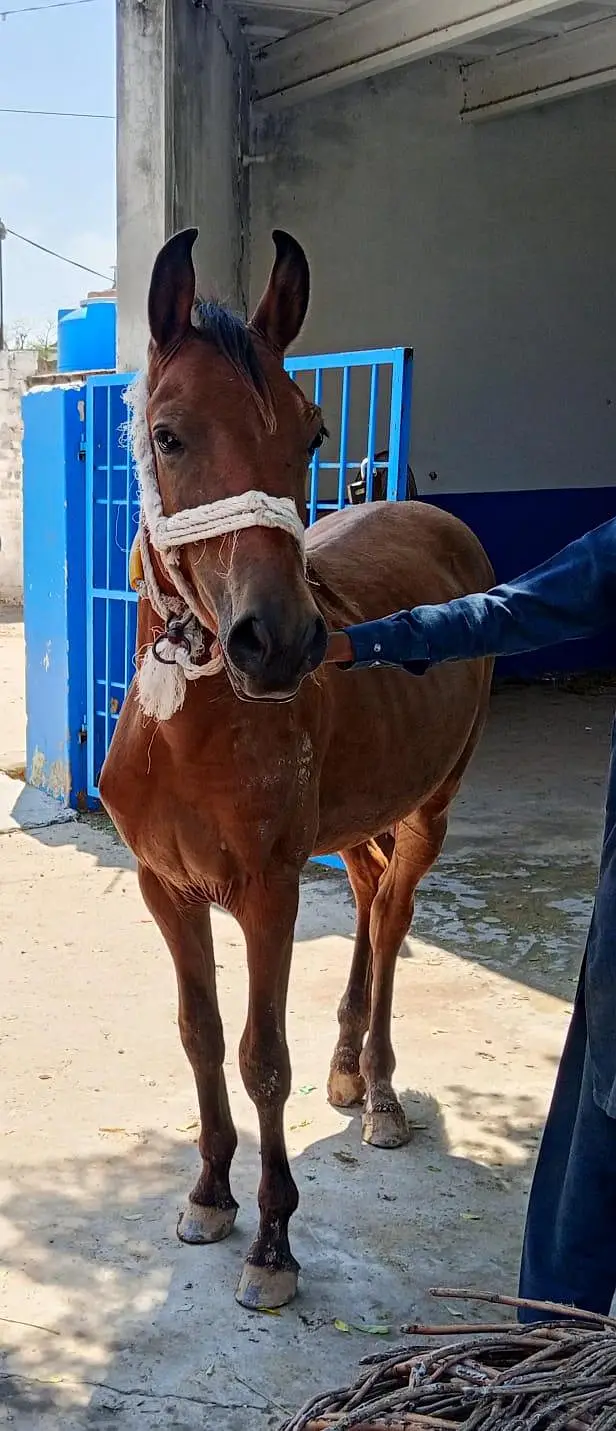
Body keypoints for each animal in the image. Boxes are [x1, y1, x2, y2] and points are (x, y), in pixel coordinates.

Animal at [99, 226, 494, 1312]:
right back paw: (351, 1063)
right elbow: (199, 1036)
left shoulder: (268, 892)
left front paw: (274, 1242)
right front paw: (208, 1193)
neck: (190, 732)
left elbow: (261, 1059)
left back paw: (384, 1088)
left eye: (314, 435)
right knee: (365, 896)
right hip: (357, 821)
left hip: (431, 806)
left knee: (393, 918)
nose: (277, 644)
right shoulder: (165, 888)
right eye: (168, 434)